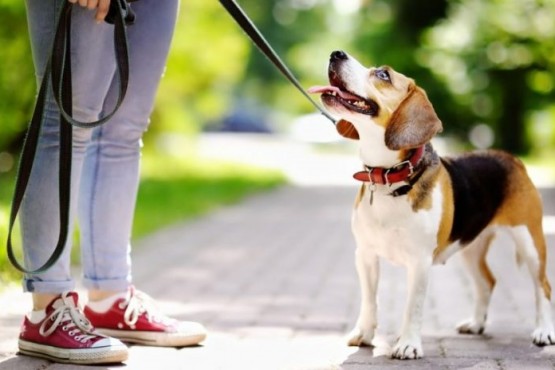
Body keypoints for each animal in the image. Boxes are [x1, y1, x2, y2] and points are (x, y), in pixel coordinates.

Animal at [308, 50, 555, 360]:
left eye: (383, 75)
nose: (336, 53)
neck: (389, 178)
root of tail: (511, 158)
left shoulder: (419, 261)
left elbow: (412, 307)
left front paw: (408, 344)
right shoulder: (365, 255)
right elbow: (369, 300)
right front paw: (364, 334)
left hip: (530, 241)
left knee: (543, 286)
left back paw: (543, 331)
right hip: (471, 247)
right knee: (487, 282)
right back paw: (476, 324)